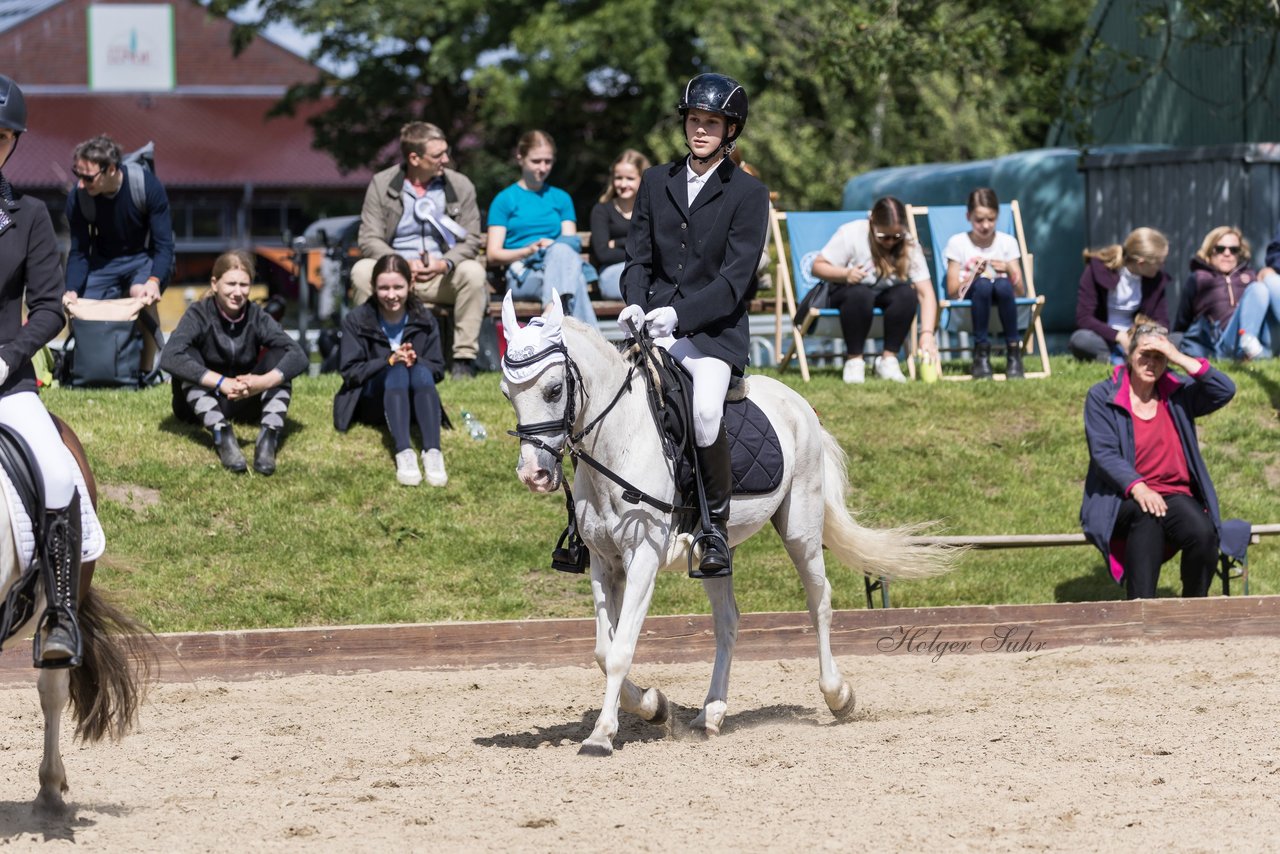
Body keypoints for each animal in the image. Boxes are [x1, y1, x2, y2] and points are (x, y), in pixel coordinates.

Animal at [504, 291, 957, 752]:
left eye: (554, 389)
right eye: (508, 393)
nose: (534, 475)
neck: (620, 438)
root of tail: (800, 404)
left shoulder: (642, 559)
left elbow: (619, 651)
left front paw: (601, 735)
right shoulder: (604, 563)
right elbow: (602, 650)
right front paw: (654, 707)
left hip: (800, 530)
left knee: (820, 601)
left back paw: (838, 696)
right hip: (715, 553)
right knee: (728, 622)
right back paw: (712, 712)